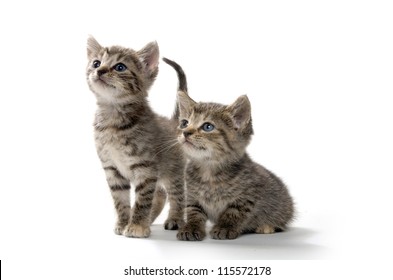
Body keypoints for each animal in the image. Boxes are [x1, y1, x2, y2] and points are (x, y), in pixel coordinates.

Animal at [84, 36, 185, 238]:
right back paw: (150, 219)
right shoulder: (112, 169)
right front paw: (124, 222)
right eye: (96, 63)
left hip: (174, 171)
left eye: (120, 67)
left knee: (176, 194)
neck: (112, 122)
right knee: (160, 194)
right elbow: (120, 200)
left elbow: (142, 200)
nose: (99, 70)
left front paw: (137, 226)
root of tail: (174, 123)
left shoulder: (145, 168)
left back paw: (175, 219)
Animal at [176, 92, 292, 241]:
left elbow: (233, 213)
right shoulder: (192, 196)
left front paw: (224, 228)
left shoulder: (247, 198)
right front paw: (190, 227)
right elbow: (193, 212)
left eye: (208, 126)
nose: (185, 132)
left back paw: (267, 227)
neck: (208, 171)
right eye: (184, 123)